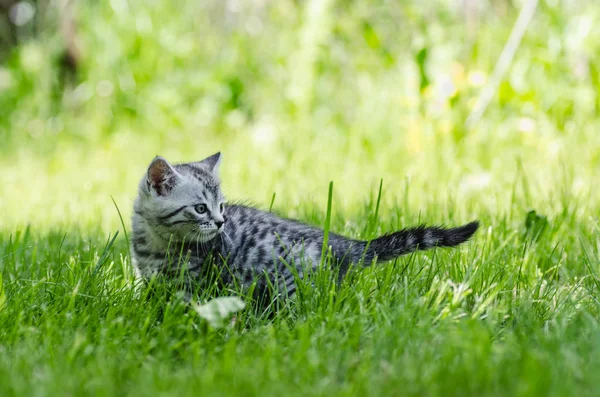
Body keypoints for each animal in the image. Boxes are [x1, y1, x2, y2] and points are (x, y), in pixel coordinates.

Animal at [130, 153, 478, 298]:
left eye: (222, 207)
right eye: (201, 208)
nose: (219, 222)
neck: (157, 244)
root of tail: (339, 243)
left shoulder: (197, 280)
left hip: (290, 280)